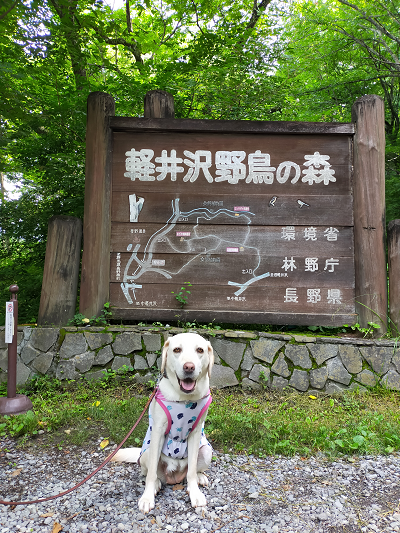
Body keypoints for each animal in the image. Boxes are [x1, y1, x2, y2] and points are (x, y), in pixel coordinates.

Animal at [111, 332, 214, 512]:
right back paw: (156, 484)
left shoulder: (195, 434)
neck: (183, 398)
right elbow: (151, 473)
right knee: (149, 473)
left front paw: (195, 493)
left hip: (207, 451)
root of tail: (174, 477)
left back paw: (200, 477)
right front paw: (147, 498)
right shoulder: (158, 432)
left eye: (200, 350)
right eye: (177, 350)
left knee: (192, 471)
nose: (189, 367)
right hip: (146, 452)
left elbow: (192, 471)